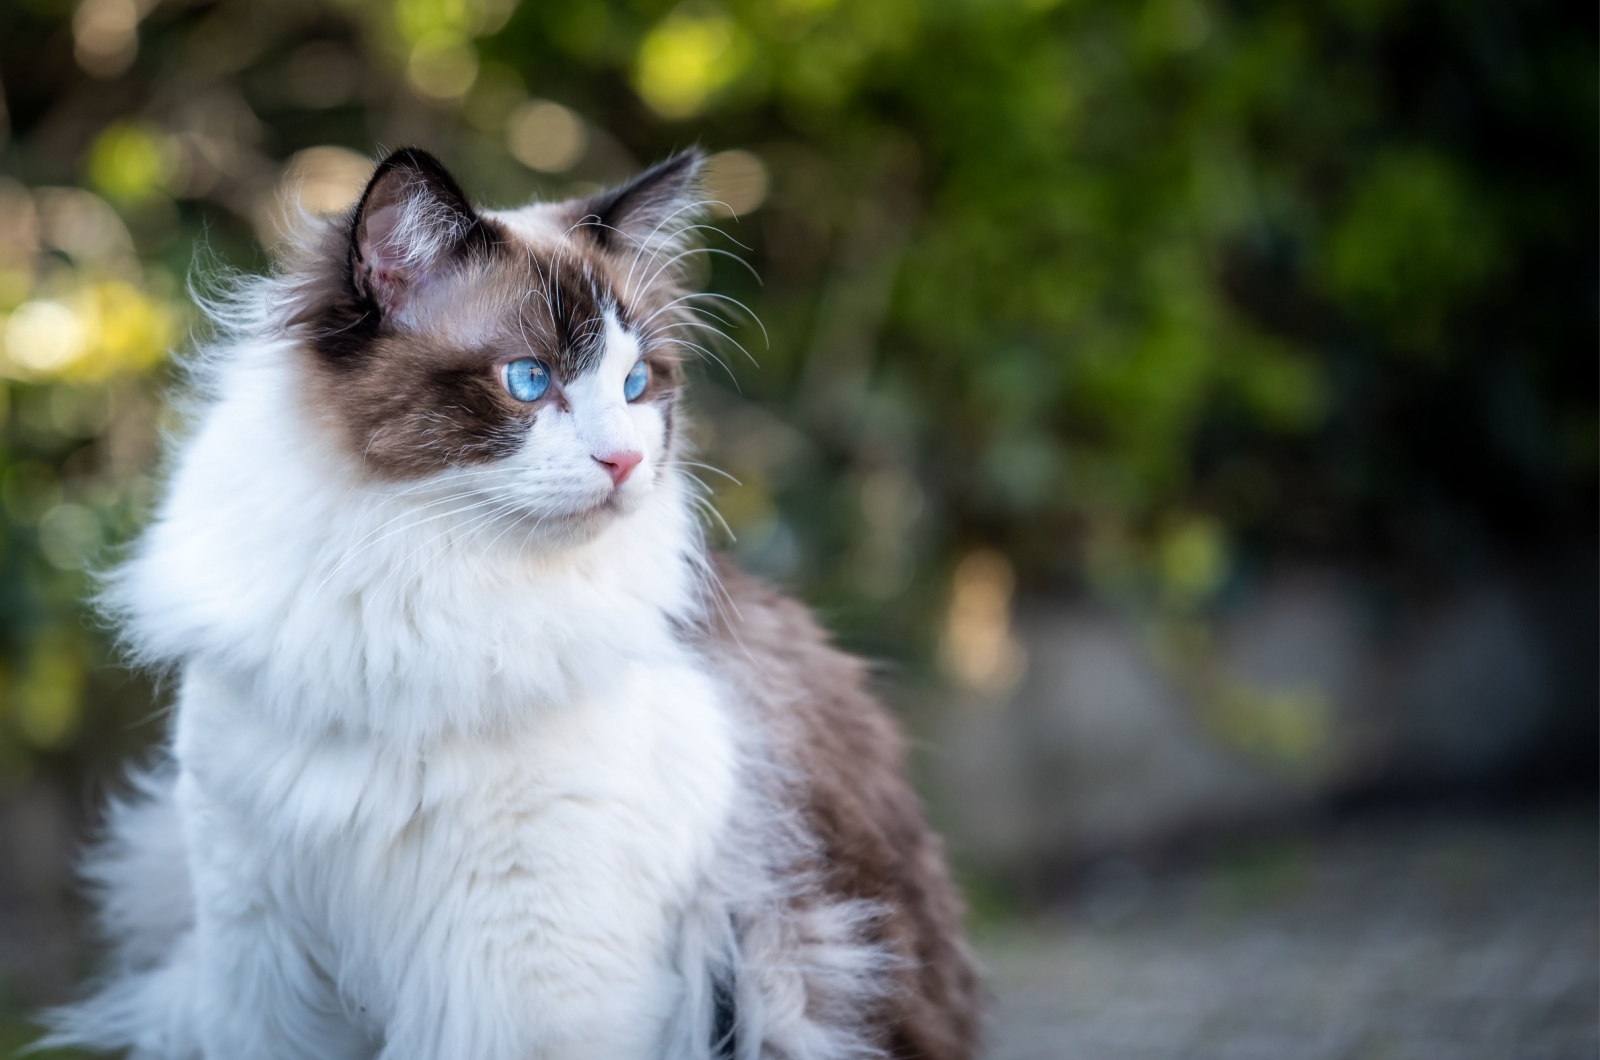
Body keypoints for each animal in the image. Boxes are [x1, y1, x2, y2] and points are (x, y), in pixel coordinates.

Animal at [37, 149, 979, 1060]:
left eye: (636, 386)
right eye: (529, 380)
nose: (625, 463)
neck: (423, 596)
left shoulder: (521, 970)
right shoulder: (263, 952)